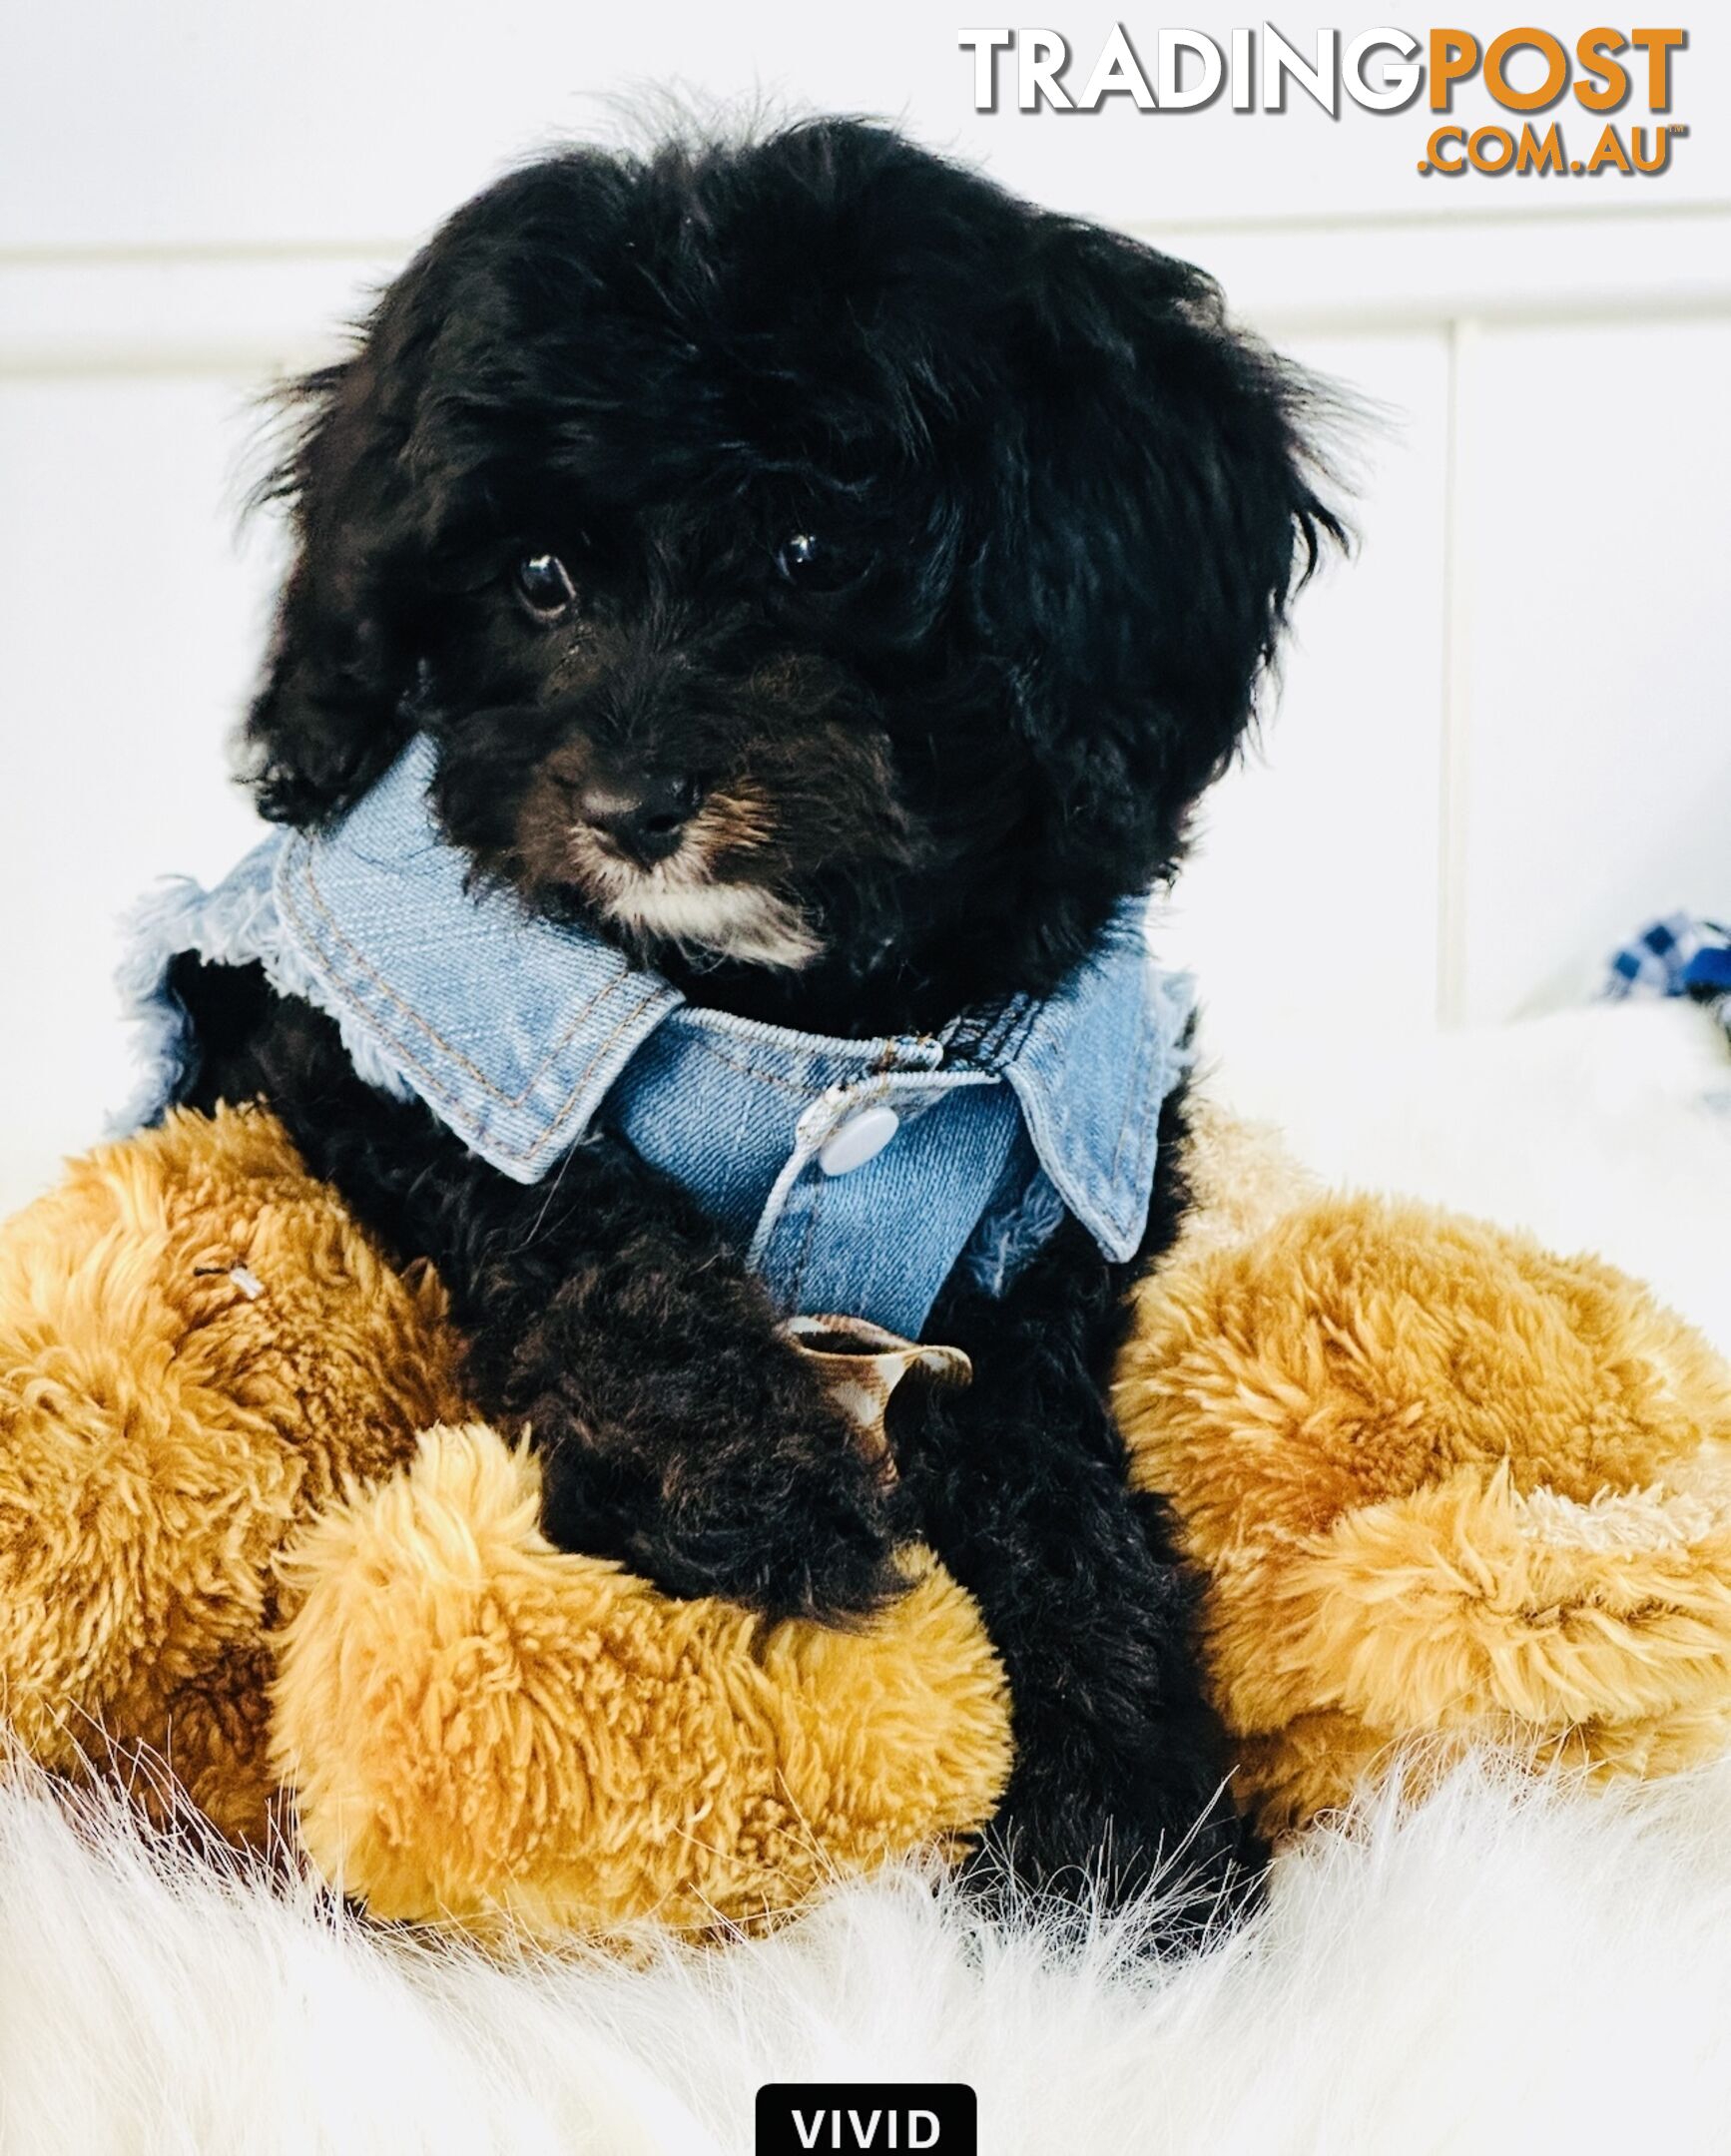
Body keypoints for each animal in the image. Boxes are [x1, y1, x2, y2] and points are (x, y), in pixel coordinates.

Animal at [169, 118, 1336, 1922]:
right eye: (538, 578)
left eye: (808, 554)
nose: (630, 807)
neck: (797, 1015)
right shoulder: (376, 1029)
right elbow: (582, 1215)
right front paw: (744, 1479)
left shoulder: (1081, 1143)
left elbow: (1036, 1430)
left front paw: (1129, 1824)